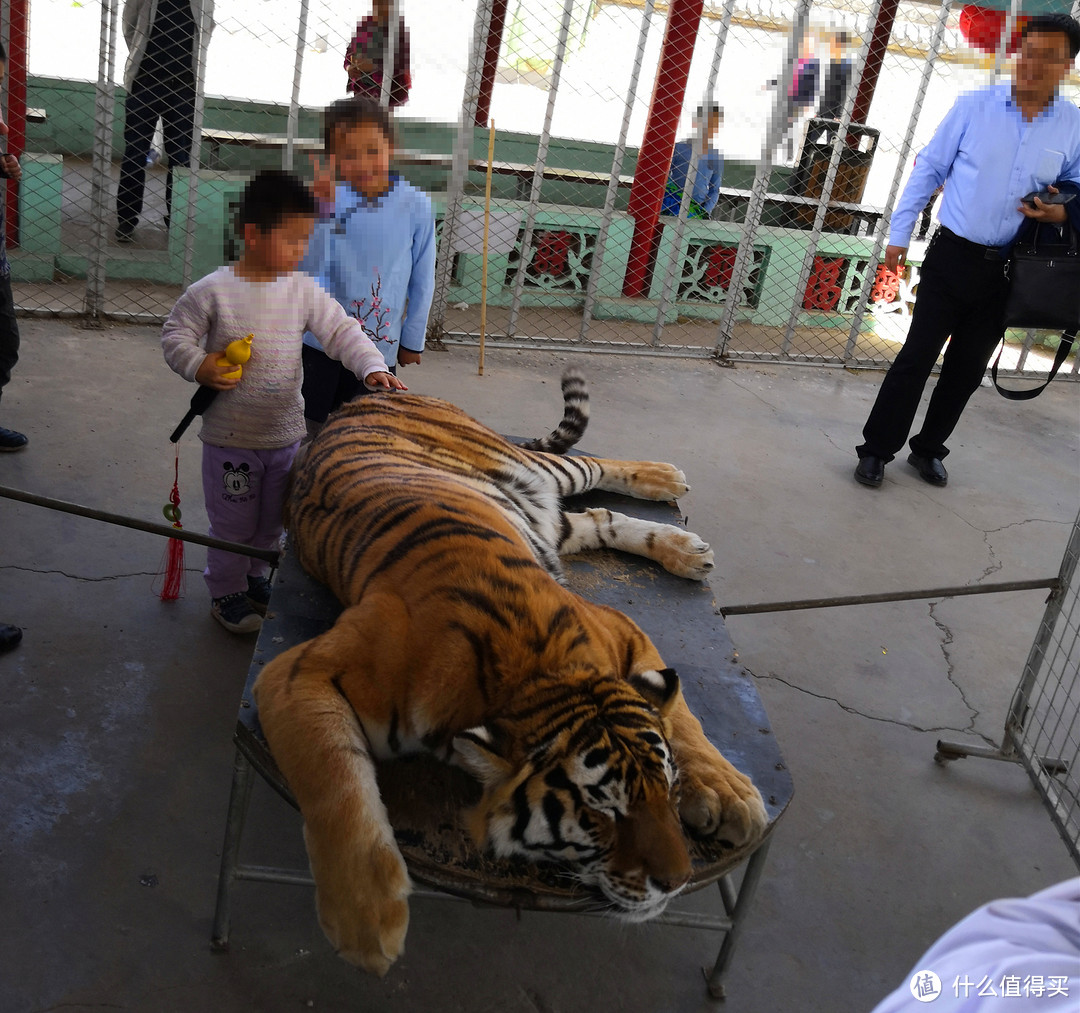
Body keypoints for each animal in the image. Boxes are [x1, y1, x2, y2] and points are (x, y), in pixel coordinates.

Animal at [254, 369, 768, 971]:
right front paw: (367, 920)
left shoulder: (621, 627)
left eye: (667, 785)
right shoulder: (297, 672)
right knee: (597, 516)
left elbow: (682, 720)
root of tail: (371, 394)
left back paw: (669, 492)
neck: (533, 669)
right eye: (602, 811)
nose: (676, 880)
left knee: (595, 473)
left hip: (531, 469)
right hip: (541, 507)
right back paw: (680, 539)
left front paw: (726, 794)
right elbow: (333, 781)